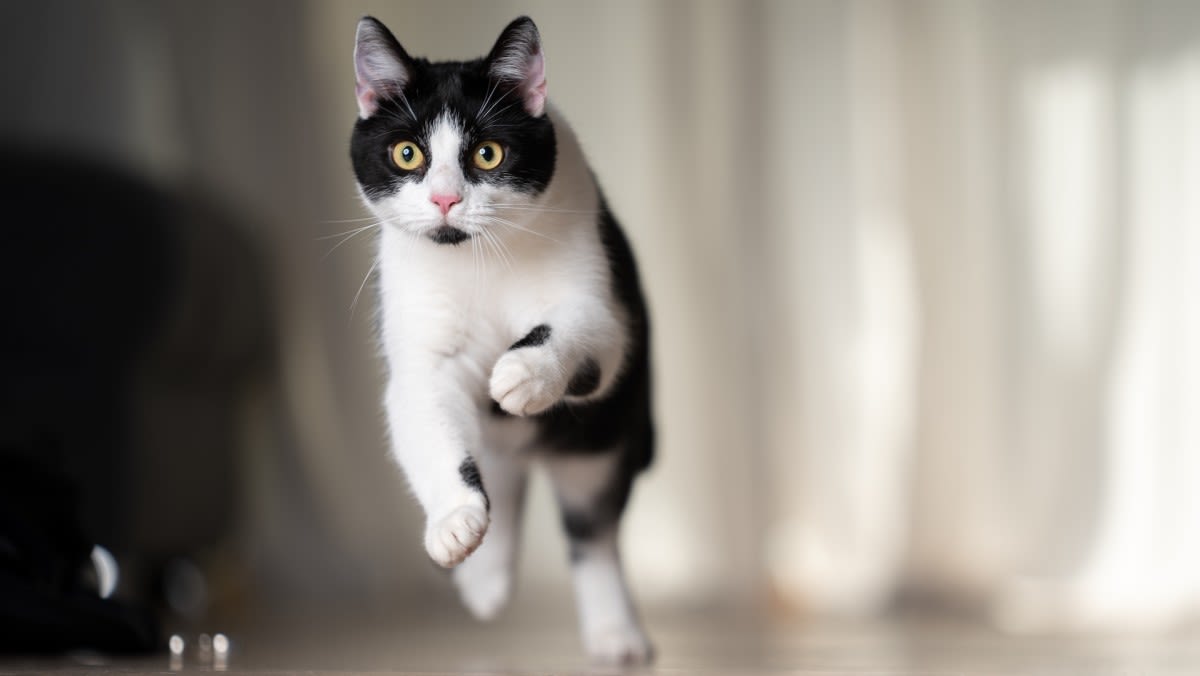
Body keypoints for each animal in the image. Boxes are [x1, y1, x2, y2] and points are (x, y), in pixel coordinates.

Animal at [348, 15, 657, 667]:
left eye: (487, 153)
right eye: (407, 153)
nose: (444, 198)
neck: (477, 262)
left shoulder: (603, 307)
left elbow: (579, 328)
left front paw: (526, 372)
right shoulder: (423, 356)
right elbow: (430, 423)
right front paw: (455, 522)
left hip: (599, 442)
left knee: (592, 531)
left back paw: (614, 632)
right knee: (499, 467)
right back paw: (485, 578)